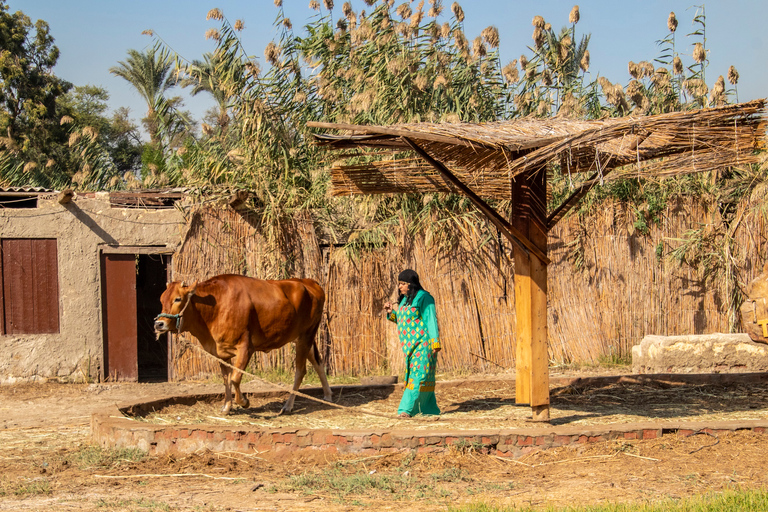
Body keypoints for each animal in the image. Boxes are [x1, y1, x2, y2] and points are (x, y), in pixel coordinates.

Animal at [154, 274, 332, 414]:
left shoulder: (246, 347)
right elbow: (226, 379)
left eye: (177, 299)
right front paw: (226, 407)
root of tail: (309, 282)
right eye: (161, 299)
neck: (216, 307)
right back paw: (328, 395)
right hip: (301, 337)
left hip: (306, 335)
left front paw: (244, 402)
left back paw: (288, 406)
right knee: (317, 361)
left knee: (300, 371)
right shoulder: (221, 352)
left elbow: (235, 378)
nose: (159, 324)